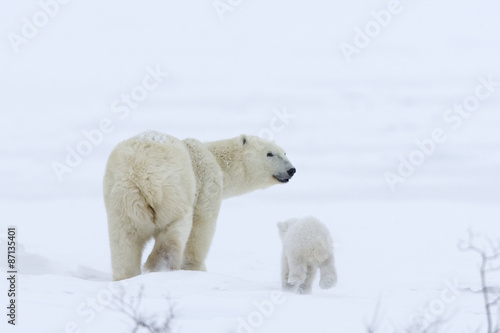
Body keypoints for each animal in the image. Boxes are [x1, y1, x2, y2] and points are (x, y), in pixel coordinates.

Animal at [103, 131, 294, 278]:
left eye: (285, 153)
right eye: (270, 153)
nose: (291, 170)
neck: (217, 160)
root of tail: (140, 171)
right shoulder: (207, 183)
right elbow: (202, 227)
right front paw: (196, 268)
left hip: (123, 199)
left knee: (125, 240)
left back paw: (127, 276)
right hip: (172, 193)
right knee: (175, 230)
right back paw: (161, 268)